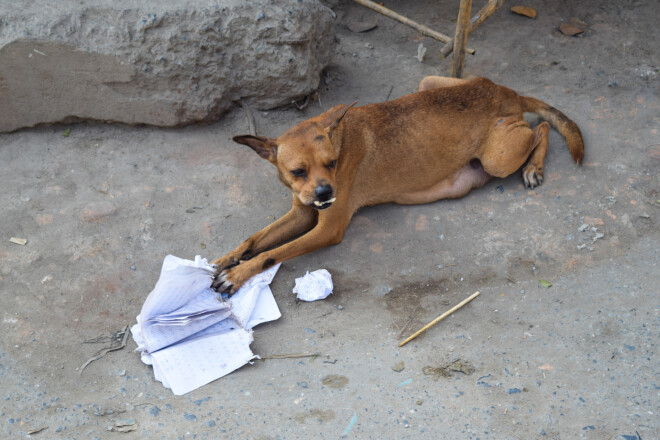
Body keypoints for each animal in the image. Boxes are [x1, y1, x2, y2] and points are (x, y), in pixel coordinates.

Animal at [213, 77, 584, 294]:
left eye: (332, 163)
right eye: (298, 171)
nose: (326, 194)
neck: (340, 138)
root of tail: (508, 92)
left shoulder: (327, 229)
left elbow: (271, 253)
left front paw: (238, 274)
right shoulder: (303, 212)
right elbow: (254, 239)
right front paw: (224, 261)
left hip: (499, 157)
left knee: (542, 129)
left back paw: (534, 166)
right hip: (429, 82)